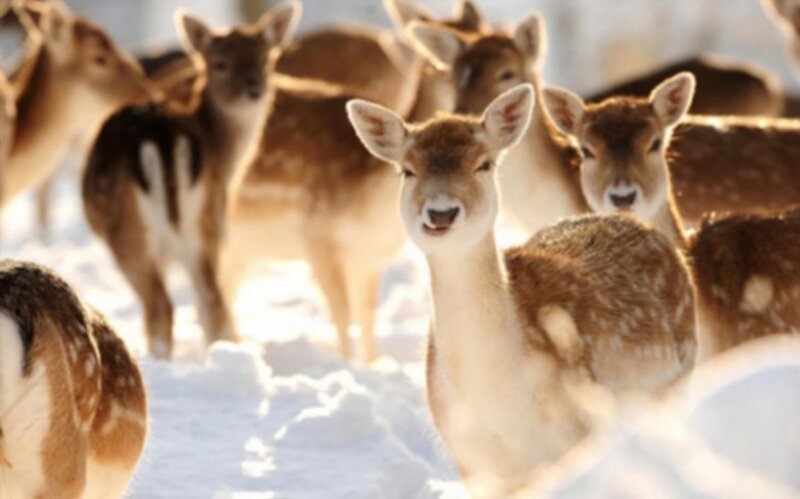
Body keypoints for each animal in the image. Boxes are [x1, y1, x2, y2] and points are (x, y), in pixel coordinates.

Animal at [81, 3, 301, 360]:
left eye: (266, 59)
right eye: (220, 63)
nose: (254, 90)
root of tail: (163, 138)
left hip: (129, 234)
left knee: (162, 307)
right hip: (205, 225)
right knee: (212, 302)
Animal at [221, 0, 485, 364]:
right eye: (435, 59)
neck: (369, 206)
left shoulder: (369, 254)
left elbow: (367, 315)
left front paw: (373, 363)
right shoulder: (316, 235)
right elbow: (343, 315)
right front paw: (347, 364)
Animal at [347, 84, 697, 495]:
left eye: (484, 164)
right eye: (408, 170)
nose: (441, 213)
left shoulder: (575, 437)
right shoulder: (473, 465)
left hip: (681, 376)